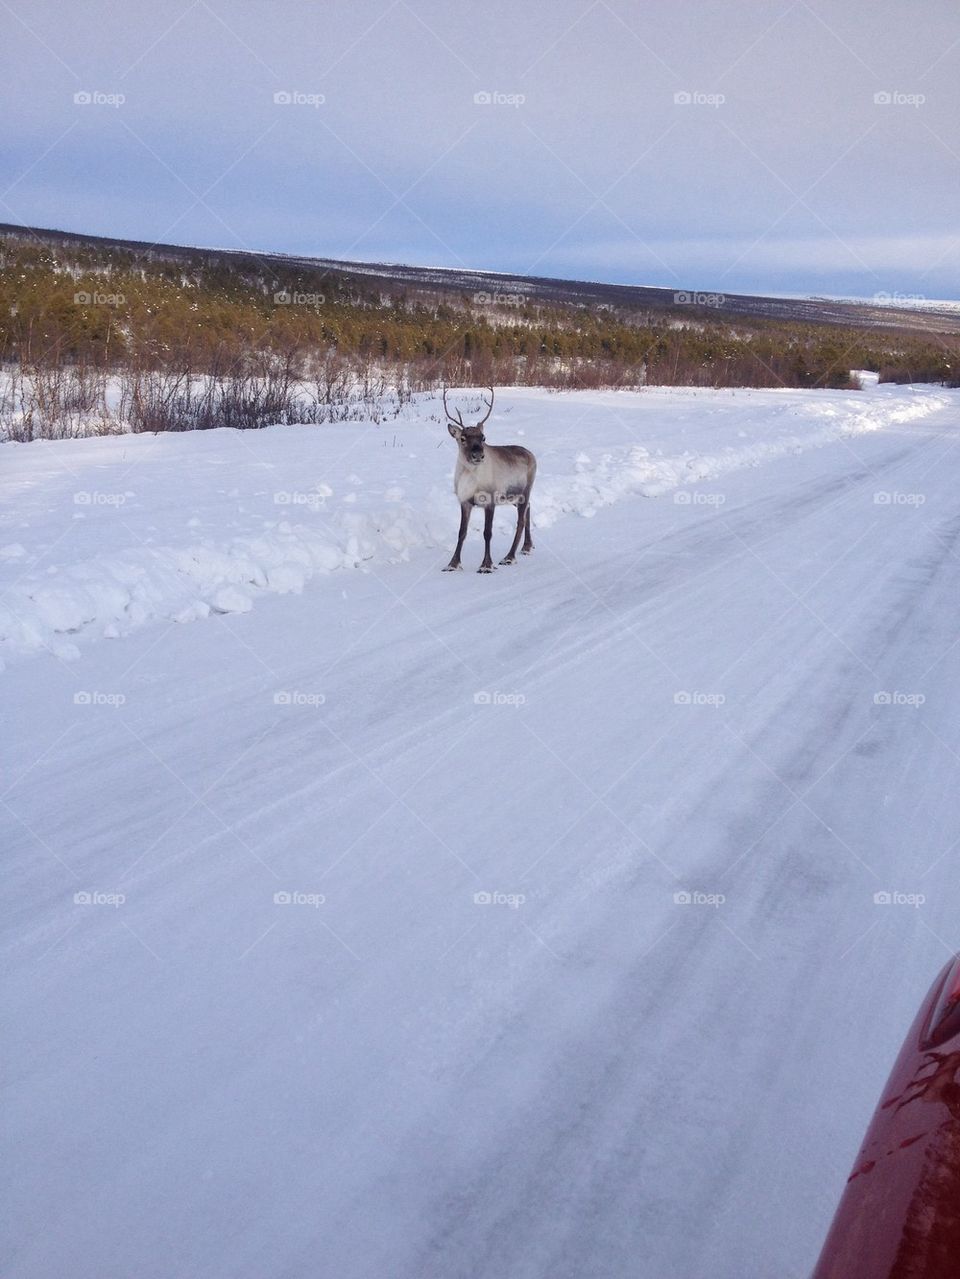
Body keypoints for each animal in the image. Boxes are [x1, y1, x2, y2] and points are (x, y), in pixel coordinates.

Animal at [442, 387, 536, 573]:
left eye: (483, 437)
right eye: (462, 438)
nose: (478, 455)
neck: (470, 479)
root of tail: (531, 454)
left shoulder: (490, 500)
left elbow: (487, 533)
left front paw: (486, 565)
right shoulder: (465, 502)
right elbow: (461, 532)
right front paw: (453, 564)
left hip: (525, 491)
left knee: (521, 520)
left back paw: (509, 557)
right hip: (514, 497)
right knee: (529, 508)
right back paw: (527, 547)